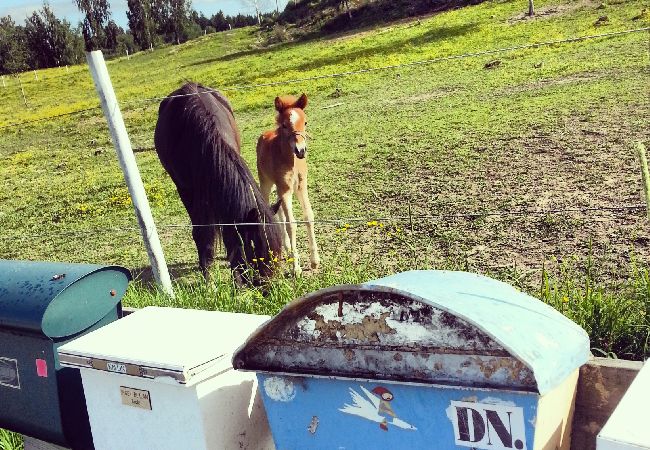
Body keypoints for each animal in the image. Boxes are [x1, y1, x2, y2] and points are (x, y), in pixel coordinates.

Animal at [256, 93, 322, 274]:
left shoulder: (301, 186)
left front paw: (315, 261)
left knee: (278, 211)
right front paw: (296, 268)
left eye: (305, 122)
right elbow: (291, 224)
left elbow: (309, 217)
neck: (290, 160)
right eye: (284, 125)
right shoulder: (285, 189)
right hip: (266, 183)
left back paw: (286, 248)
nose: (301, 150)